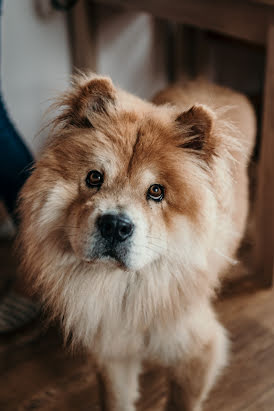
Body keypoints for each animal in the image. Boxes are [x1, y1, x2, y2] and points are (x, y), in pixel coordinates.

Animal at [18, 75, 256, 411]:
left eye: (156, 191)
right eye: (94, 178)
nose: (115, 226)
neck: (126, 289)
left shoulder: (198, 353)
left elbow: (180, 402)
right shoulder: (113, 351)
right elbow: (116, 399)